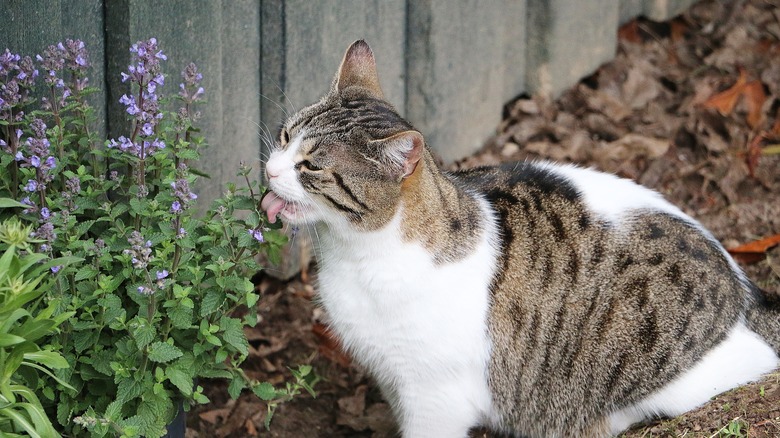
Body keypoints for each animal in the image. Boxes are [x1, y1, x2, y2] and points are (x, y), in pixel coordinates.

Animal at [258, 39, 776, 436]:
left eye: (310, 167)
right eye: (283, 136)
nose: (269, 170)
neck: (354, 252)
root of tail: (746, 290)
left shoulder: (435, 395)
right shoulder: (393, 376)